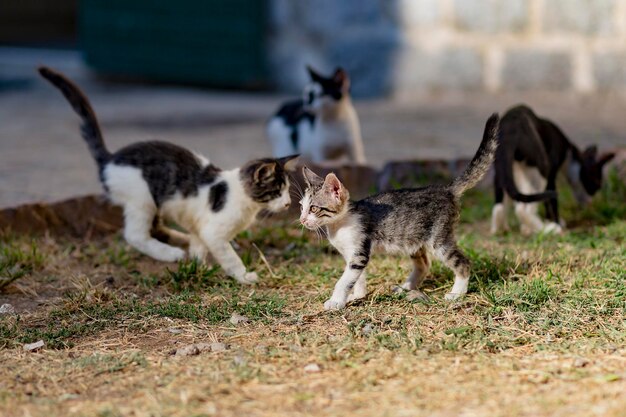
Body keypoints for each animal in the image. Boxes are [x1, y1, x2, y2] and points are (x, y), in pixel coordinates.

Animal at [39, 66, 298, 284]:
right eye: (277, 191)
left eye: (287, 190)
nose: (287, 204)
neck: (241, 197)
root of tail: (110, 159)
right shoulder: (214, 232)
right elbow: (228, 256)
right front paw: (244, 276)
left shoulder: (200, 226)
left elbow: (199, 246)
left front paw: (199, 268)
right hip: (142, 198)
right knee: (135, 235)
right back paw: (170, 253)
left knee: (156, 229)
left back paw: (180, 240)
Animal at [298, 114, 498, 308]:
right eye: (301, 207)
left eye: (314, 208)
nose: (302, 220)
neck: (338, 224)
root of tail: (446, 189)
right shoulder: (352, 256)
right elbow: (357, 278)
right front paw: (357, 296)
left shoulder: (358, 253)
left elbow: (344, 280)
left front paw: (336, 301)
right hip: (413, 239)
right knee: (424, 265)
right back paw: (406, 288)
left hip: (439, 239)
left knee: (463, 263)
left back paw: (457, 293)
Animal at [490, 104, 612, 234]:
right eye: (596, 184)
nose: (591, 202)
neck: (569, 154)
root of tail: (509, 127)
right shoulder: (551, 177)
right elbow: (551, 203)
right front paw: (555, 222)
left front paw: (526, 227)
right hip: (542, 167)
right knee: (522, 208)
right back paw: (547, 229)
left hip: (503, 169)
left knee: (500, 205)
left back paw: (499, 229)